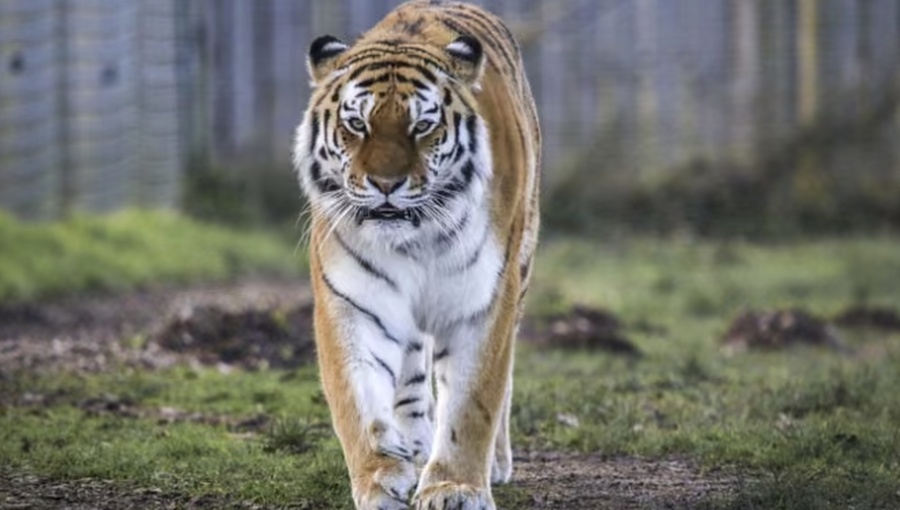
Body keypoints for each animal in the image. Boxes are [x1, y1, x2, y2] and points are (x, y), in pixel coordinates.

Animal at [292, 1, 540, 508]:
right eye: (357, 124)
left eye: (422, 126)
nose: (386, 184)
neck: (415, 239)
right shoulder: (352, 300)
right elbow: (358, 399)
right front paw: (380, 480)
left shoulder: (482, 301)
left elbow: (473, 403)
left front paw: (455, 488)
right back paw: (414, 448)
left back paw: (494, 464)